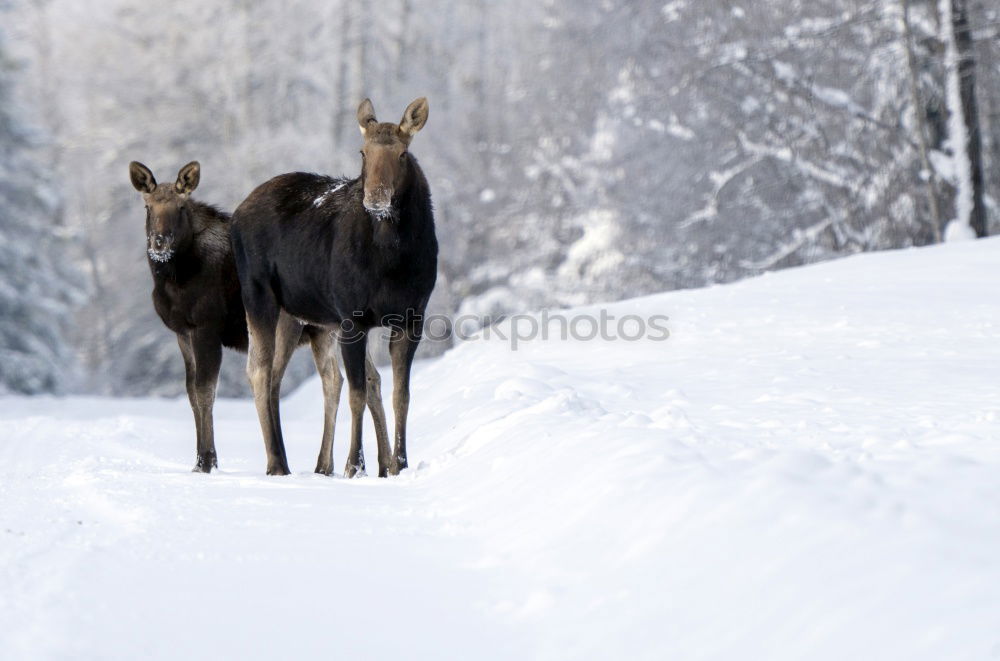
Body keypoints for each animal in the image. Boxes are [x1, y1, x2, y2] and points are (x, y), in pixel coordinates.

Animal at [129, 159, 386, 472]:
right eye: (148, 207)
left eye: (180, 206)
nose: (159, 242)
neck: (173, 281)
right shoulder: (182, 332)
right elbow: (191, 391)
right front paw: (201, 460)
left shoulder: (206, 327)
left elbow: (205, 390)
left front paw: (207, 461)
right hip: (326, 328)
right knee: (363, 378)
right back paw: (377, 464)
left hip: (311, 325)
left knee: (321, 380)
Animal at [236, 98, 440, 476]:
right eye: (363, 151)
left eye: (403, 153)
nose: (376, 197)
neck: (392, 259)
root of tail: (236, 215)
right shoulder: (351, 317)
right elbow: (357, 394)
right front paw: (354, 465)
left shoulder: (411, 317)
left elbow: (400, 394)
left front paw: (398, 464)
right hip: (258, 296)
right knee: (259, 370)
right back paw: (276, 463)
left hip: (297, 315)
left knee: (283, 377)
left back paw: (298, 461)